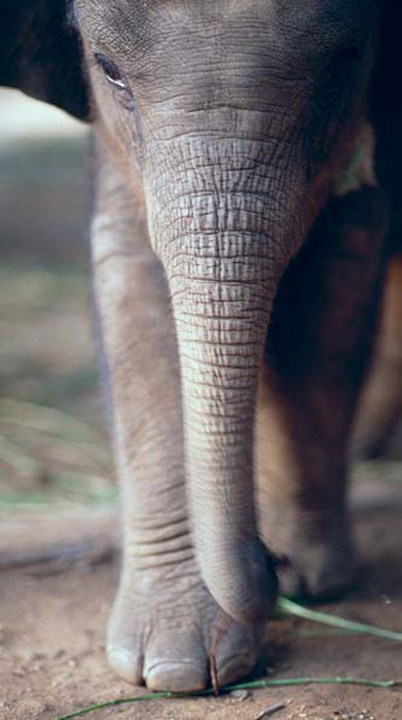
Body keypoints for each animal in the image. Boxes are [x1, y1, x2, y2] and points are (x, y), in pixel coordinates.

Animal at [2, 0, 398, 692]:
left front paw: (312, 579)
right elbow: (130, 262)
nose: (271, 563)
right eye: (108, 70)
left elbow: (339, 265)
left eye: (339, 67)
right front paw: (176, 672)